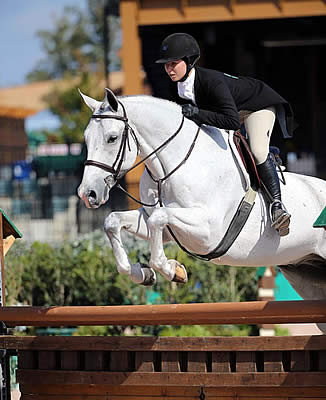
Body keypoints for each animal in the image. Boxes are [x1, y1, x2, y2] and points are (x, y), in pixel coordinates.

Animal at [78, 90, 326, 332]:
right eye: (86, 138)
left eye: (112, 138)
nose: (87, 193)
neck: (174, 165)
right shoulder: (164, 227)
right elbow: (113, 221)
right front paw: (142, 273)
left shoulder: (208, 231)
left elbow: (158, 218)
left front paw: (172, 270)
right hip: (305, 274)